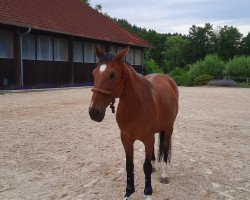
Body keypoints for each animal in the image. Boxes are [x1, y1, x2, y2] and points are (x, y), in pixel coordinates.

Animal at [89, 46, 179, 198]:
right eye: (94, 73)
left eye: (112, 74)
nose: (94, 112)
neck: (137, 106)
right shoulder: (126, 139)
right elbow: (129, 166)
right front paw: (128, 192)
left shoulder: (147, 139)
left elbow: (146, 167)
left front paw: (148, 193)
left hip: (168, 128)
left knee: (165, 149)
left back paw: (164, 175)